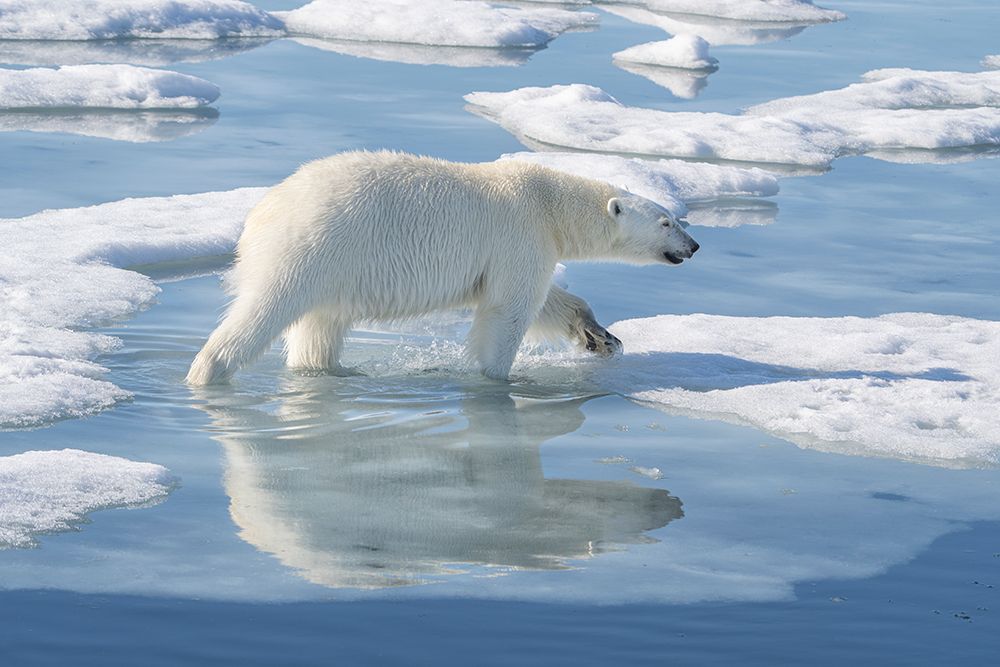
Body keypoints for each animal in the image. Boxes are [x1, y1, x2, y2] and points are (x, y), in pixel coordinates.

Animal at [186, 150, 699, 385]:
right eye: (667, 220)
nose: (694, 246)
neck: (548, 202)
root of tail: (263, 211)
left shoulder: (524, 246)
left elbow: (546, 299)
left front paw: (599, 337)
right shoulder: (520, 233)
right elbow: (509, 309)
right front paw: (496, 376)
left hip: (333, 270)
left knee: (318, 331)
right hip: (310, 247)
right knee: (264, 310)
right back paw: (207, 373)